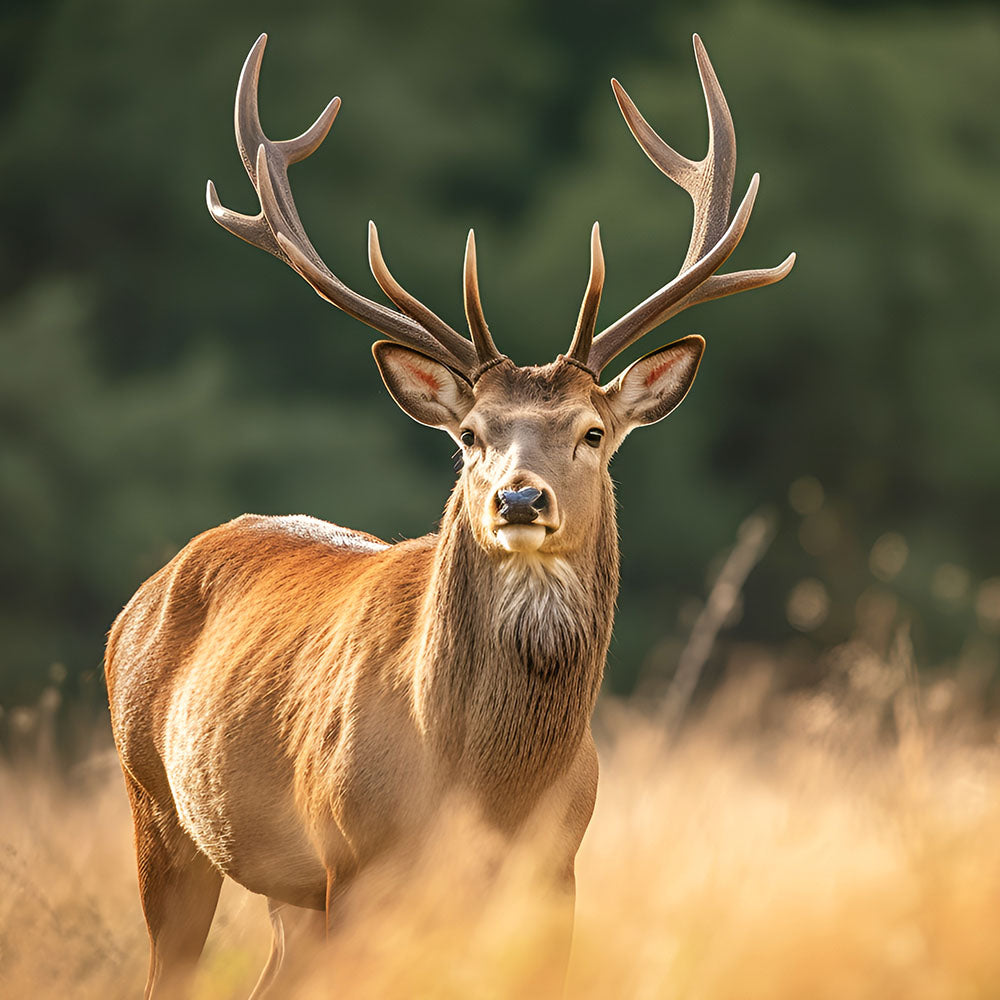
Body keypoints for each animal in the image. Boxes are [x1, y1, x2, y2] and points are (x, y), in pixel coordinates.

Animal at [105, 31, 792, 1000]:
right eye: (470, 434)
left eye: (592, 432)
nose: (519, 496)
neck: (486, 785)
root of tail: (142, 596)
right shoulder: (355, 864)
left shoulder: (556, 875)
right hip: (159, 811)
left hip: (286, 891)